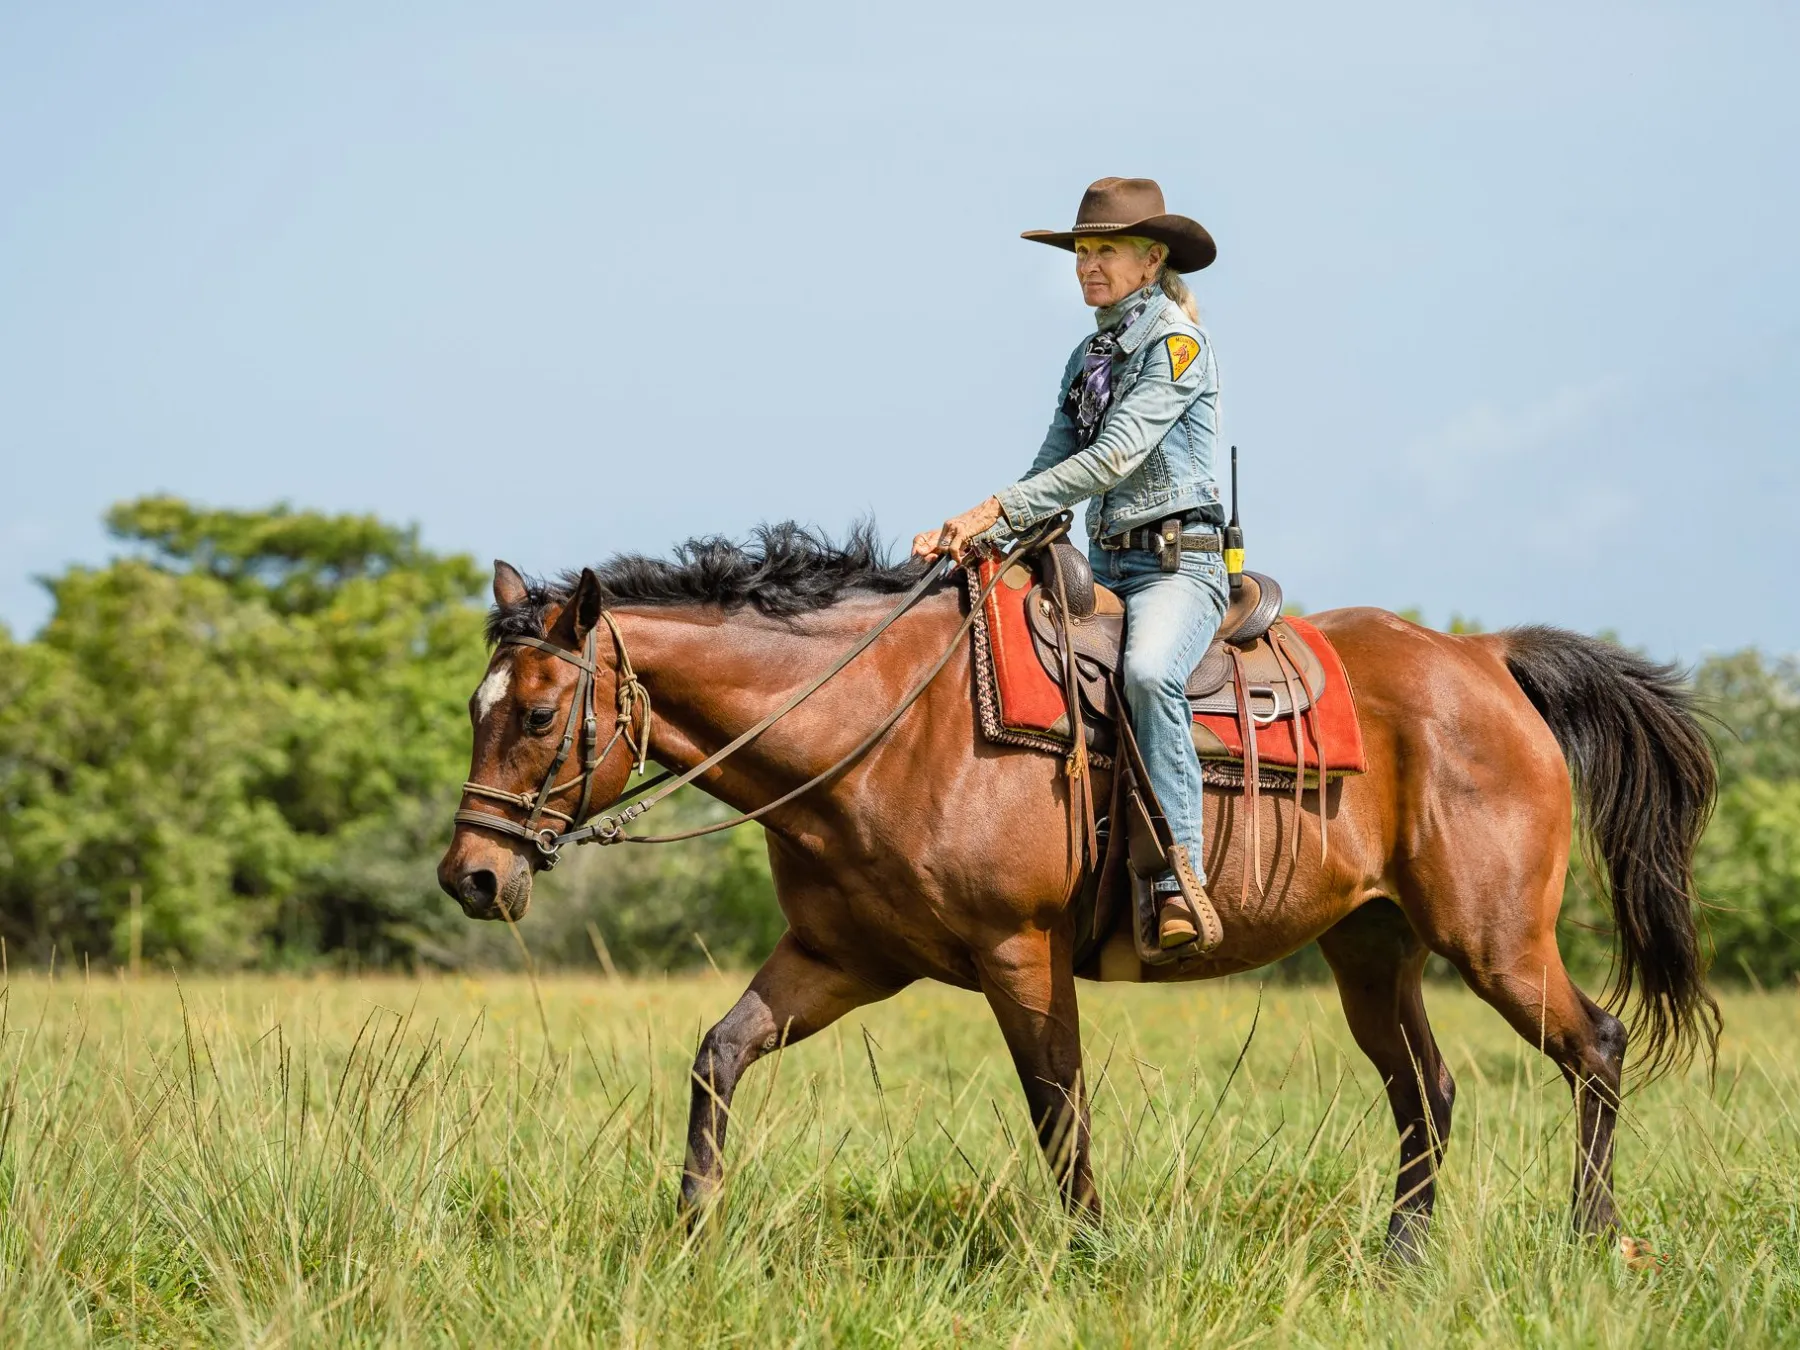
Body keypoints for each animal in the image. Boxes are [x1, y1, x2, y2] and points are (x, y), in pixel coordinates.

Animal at [435, 523, 1718, 1254]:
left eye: (539, 714)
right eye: (476, 709)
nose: (471, 876)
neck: (886, 723)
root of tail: (1485, 659)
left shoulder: (1021, 955)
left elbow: (1059, 1109)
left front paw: (1095, 1251)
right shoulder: (842, 960)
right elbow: (719, 1054)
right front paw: (693, 1228)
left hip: (1494, 939)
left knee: (1595, 1047)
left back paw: (1591, 1240)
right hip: (1372, 951)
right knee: (1429, 1091)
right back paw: (1403, 1256)